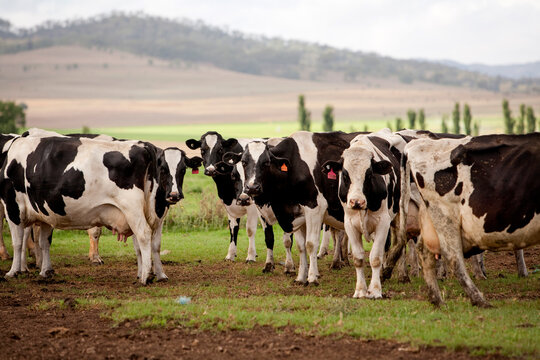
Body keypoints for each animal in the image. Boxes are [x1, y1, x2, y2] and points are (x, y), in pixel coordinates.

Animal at [0, 129, 202, 284]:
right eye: (164, 169)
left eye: (183, 169)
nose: (174, 195)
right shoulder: (45, 212)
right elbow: (44, 242)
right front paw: (45, 271)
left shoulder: (12, 206)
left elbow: (18, 241)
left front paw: (13, 272)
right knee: (151, 241)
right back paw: (156, 274)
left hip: (132, 209)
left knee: (144, 234)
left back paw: (146, 277)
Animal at [187, 131, 264, 262]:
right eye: (202, 150)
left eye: (220, 149)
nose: (210, 170)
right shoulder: (229, 204)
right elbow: (233, 229)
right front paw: (231, 254)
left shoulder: (252, 205)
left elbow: (250, 229)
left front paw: (251, 256)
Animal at [400, 132, 540, 306]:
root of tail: (415, 145)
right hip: (446, 218)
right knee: (453, 257)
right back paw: (479, 299)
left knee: (424, 251)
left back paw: (438, 299)